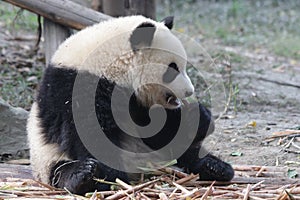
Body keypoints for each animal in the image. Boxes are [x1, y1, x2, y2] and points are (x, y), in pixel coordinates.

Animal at [27, 16, 234, 195]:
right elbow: (91, 134)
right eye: (172, 68)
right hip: (44, 157)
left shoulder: (139, 102)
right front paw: (110, 178)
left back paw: (216, 167)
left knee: (186, 152)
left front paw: (200, 116)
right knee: (58, 170)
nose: (189, 91)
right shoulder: (76, 88)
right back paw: (82, 175)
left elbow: (159, 130)